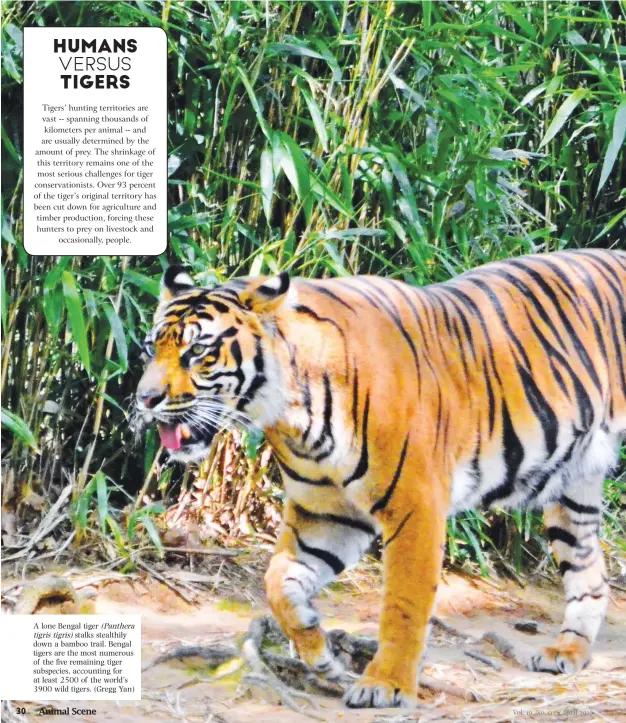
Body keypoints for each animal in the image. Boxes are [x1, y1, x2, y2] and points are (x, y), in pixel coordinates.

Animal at [134, 249, 620, 708]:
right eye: (149, 349)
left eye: (197, 352)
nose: (144, 399)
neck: (294, 414)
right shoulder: (324, 513)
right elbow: (277, 581)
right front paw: (318, 651)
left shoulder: (415, 506)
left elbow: (404, 602)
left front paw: (385, 685)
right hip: (573, 488)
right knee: (590, 572)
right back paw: (568, 653)